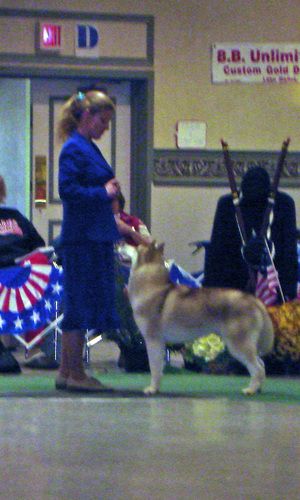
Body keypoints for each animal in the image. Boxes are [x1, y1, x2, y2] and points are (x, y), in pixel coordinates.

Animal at [127, 240, 274, 396]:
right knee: (261, 364)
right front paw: (157, 387)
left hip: (238, 345)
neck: (151, 285)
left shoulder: (153, 340)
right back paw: (257, 388)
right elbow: (159, 369)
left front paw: (152, 389)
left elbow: (154, 368)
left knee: (257, 368)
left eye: (135, 247)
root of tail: (252, 299)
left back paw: (250, 390)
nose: (119, 244)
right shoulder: (160, 343)